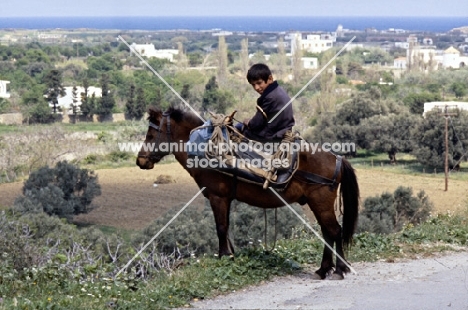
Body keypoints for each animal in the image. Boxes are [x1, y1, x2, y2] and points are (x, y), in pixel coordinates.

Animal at [137, 107, 360, 280]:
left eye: (150, 135)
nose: (140, 160)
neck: (202, 146)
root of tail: (337, 159)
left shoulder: (218, 197)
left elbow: (220, 228)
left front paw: (225, 257)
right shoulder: (225, 199)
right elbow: (226, 228)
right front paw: (230, 255)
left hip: (320, 202)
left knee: (334, 231)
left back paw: (339, 270)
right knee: (327, 232)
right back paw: (323, 269)